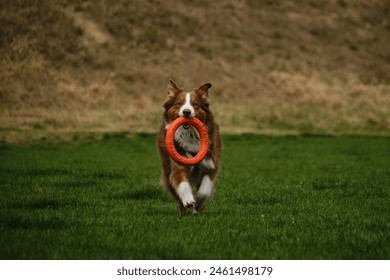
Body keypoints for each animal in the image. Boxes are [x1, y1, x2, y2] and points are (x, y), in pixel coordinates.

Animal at [156, 79, 222, 214]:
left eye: (195, 104)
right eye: (179, 103)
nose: (186, 112)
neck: (190, 134)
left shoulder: (211, 166)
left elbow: (203, 192)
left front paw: (197, 205)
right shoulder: (177, 167)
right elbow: (182, 184)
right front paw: (188, 200)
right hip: (167, 169)